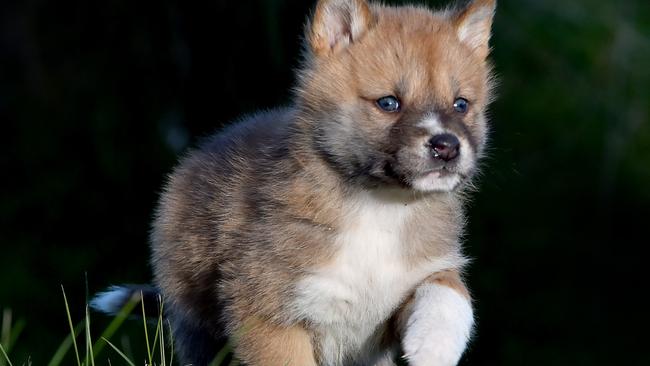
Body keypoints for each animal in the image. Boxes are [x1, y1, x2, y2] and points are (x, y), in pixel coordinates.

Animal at [92, 1, 496, 364]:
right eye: (388, 102)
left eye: (461, 104)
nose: (446, 146)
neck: (379, 208)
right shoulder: (269, 314)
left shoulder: (411, 282)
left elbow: (450, 291)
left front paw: (434, 345)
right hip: (199, 330)